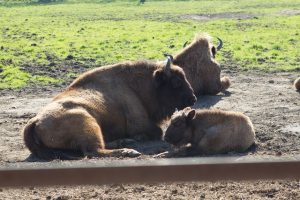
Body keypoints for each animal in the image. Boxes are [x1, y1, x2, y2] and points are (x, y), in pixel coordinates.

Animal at [23, 57, 197, 160]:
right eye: (176, 82)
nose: (193, 99)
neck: (135, 85)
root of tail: (35, 121)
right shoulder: (140, 124)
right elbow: (157, 131)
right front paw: (137, 139)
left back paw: (125, 142)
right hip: (88, 122)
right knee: (93, 151)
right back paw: (129, 151)